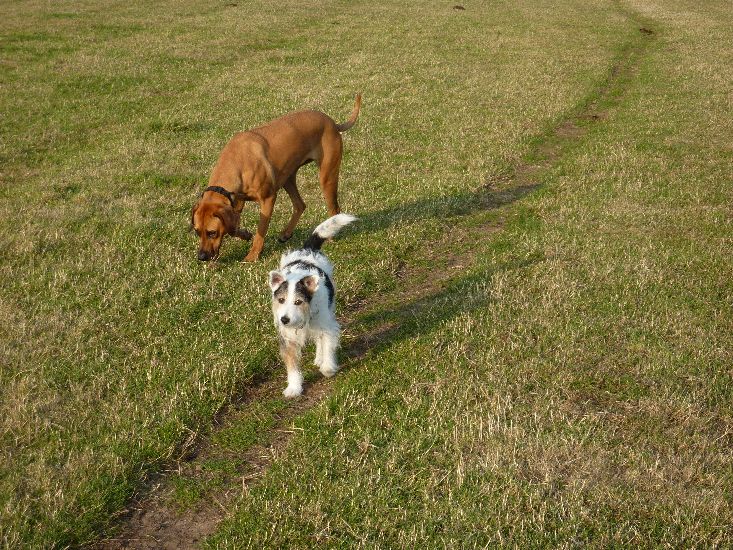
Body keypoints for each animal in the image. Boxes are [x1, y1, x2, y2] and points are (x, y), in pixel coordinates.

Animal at [191, 94, 361, 262]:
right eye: (197, 232)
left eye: (212, 232)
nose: (202, 257)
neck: (236, 161)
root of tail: (333, 123)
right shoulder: (237, 201)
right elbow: (234, 227)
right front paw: (245, 234)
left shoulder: (268, 199)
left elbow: (261, 231)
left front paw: (253, 255)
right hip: (288, 177)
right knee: (300, 205)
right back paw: (286, 233)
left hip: (327, 177)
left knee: (334, 209)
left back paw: (328, 235)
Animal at [268, 213, 356, 397]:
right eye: (281, 300)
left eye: (298, 301)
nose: (284, 320)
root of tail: (307, 250)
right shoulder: (288, 337)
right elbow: (292, 364)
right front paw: (294, 388)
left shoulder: (326, 325)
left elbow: (327, 344)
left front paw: (328, 368)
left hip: (328, 311)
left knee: (319, 340)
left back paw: (319, 358)